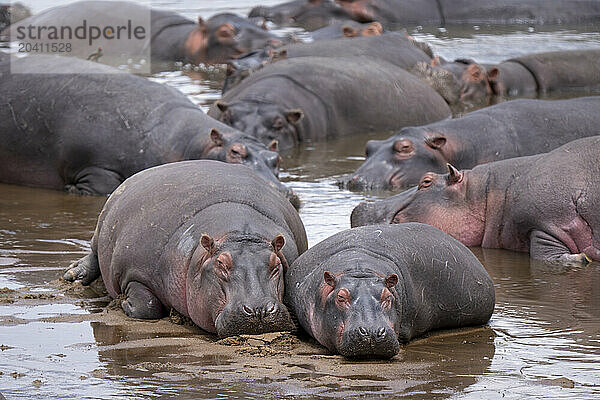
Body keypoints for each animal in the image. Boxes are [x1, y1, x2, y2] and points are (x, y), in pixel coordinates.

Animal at [65, 161, 310, 336]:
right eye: (221, 264)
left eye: (276, 264)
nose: (259, 309)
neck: (238, 235)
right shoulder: (134, 272)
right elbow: (148, 305)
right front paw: (123, 302)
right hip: (102, 226)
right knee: (94, 254)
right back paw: (73, 276)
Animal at [352, 137, 600, 266]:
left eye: (426, 181)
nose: (360, 207)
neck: (490, 192)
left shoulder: (545, 222)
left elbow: (545, 255)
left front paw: (580, 258)